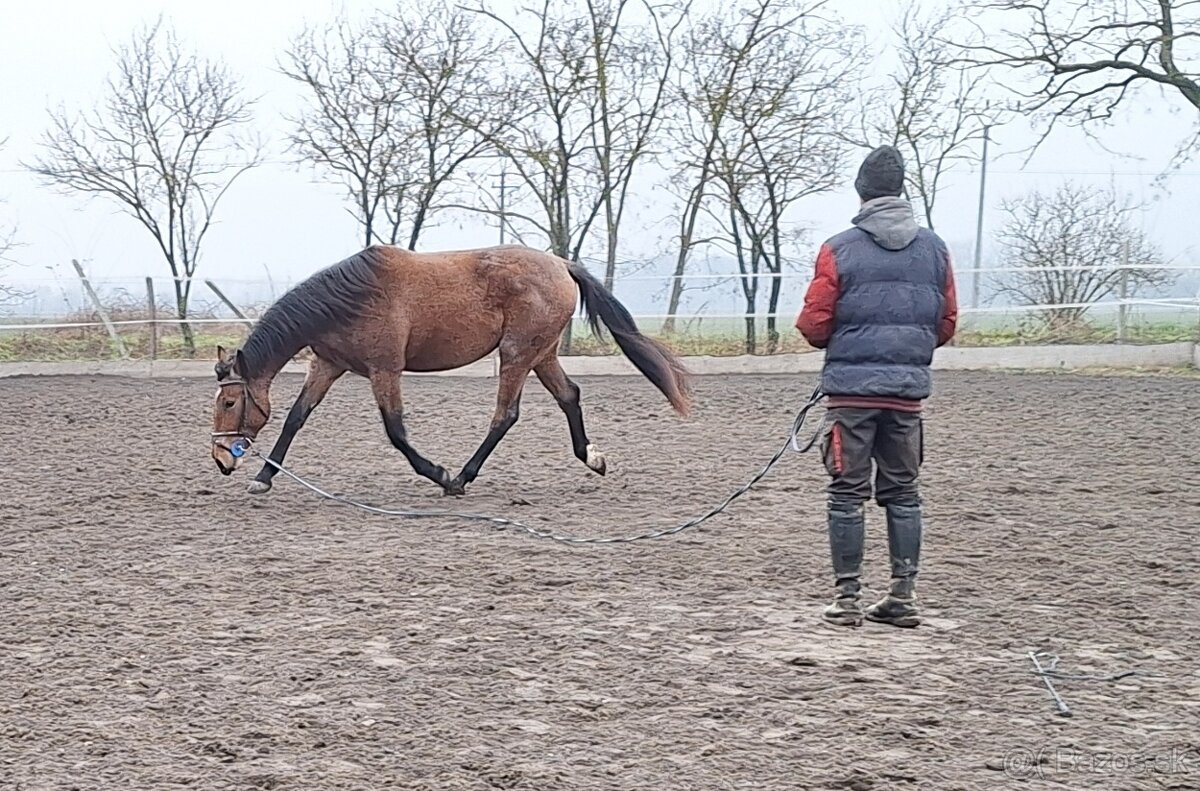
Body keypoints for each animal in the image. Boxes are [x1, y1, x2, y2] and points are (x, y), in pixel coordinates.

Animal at [211, 244, 691, 499]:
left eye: (230, 401)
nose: (220, 458)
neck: (351, 300)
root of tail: (560, 264)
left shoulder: (385, 370)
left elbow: (395, 431)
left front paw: (439, 473)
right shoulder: (329, 364)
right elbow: (296, 417)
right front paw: (263, 478)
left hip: (517, 355)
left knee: (506, 415)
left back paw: (460, 477)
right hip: (541, 355)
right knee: (569, 395)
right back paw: (592, 458)